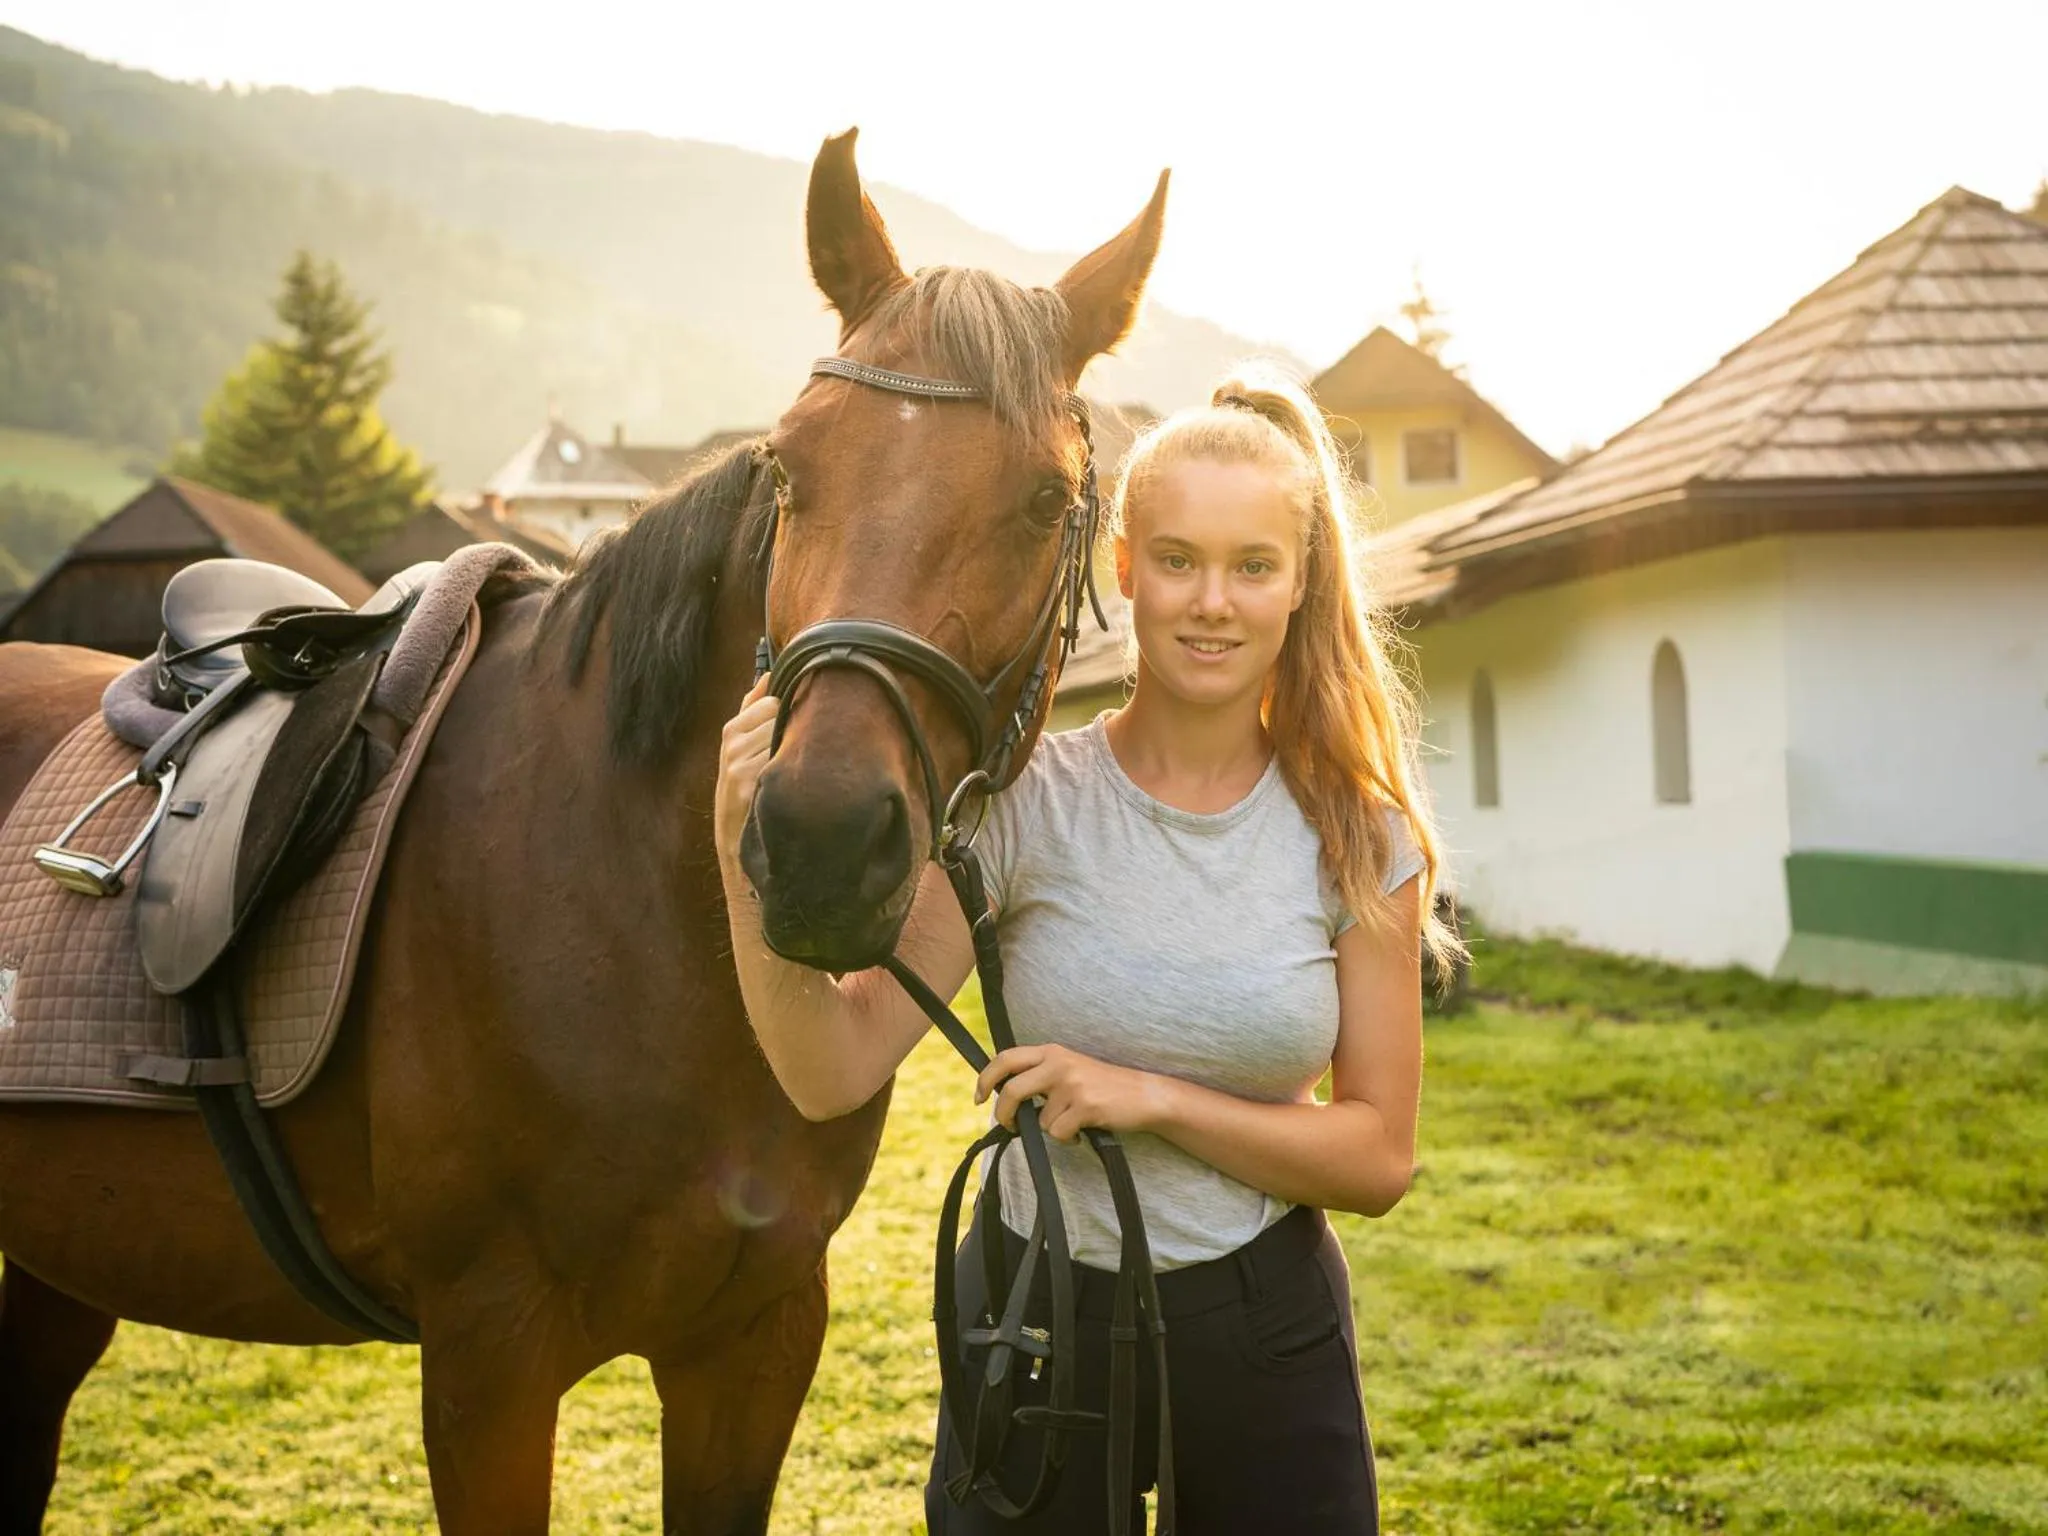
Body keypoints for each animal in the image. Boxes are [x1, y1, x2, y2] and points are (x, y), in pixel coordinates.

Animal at [0, 128, 1167, 1534]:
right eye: (789, 467)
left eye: (1048, 500)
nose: (819, 844)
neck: (635, 917)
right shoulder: (488, 1363)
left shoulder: (755, 1337)